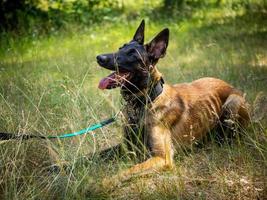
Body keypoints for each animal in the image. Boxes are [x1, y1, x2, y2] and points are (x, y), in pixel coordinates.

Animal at [96, 19, 249, 181]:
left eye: (132, 55)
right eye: (120, 48)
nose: (99, 57)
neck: (145, 101)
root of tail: (230, 86)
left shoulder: (162, 158)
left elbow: (125, 172)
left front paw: (102, 183)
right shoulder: (126, 146)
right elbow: (93, 155)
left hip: (231, 103)